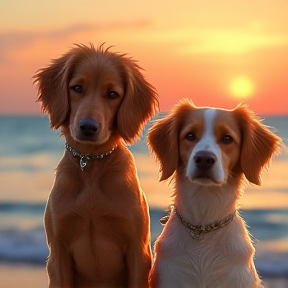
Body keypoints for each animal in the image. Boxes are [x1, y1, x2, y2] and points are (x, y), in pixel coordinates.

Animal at [34, 44, 159, 286]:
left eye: (112, 94)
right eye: (77, 87)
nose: (88, 127)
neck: (91, 164)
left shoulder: (138, 252)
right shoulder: (58, 254)